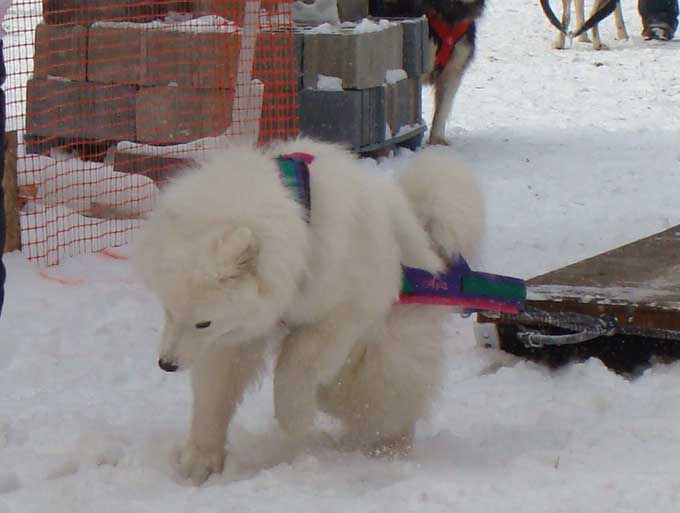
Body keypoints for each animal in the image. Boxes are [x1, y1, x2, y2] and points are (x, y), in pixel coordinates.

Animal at [134, 138, 484, 482]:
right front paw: (200, 461)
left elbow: (296, 363)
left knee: (388, 403)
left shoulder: (345, 309)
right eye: (168, 311)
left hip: (382, 358)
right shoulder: (234, 334)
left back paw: (387, 448)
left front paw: (293, 419)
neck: (306, 224)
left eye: (202, 323)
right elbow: (214, 394)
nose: (166, 364)